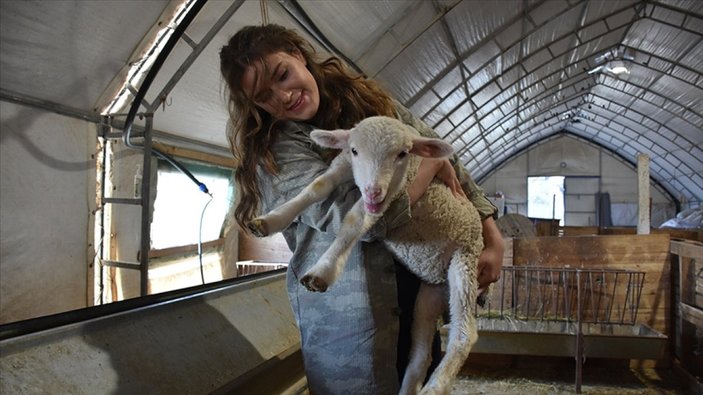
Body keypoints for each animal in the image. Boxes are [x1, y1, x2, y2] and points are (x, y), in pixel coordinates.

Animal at [248, 115, 484, 395]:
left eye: (402, 154)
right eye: (355, 150)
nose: (373, 191)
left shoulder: (394, 194)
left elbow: (355, 219)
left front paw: (321, 272)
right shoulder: (344, 164)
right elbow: (317, 187)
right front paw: (268, 221)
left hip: (464, 262)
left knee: (464, 333)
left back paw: (435, 386)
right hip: (431, 294)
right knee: (420, 352)